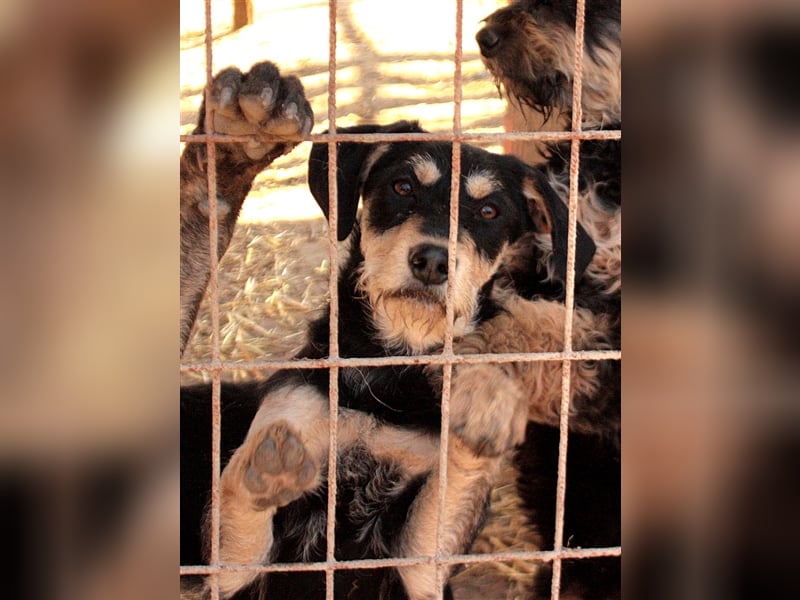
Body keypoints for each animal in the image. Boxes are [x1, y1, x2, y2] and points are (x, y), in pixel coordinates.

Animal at [183, 68, 608, 596]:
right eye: (403, 186)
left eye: (489, 212)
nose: (432, 261)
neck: (391, 373)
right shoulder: (232, 571)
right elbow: (239, 494)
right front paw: (270, 459)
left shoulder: (421, 570)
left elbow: (447, 492)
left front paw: (486, 405)